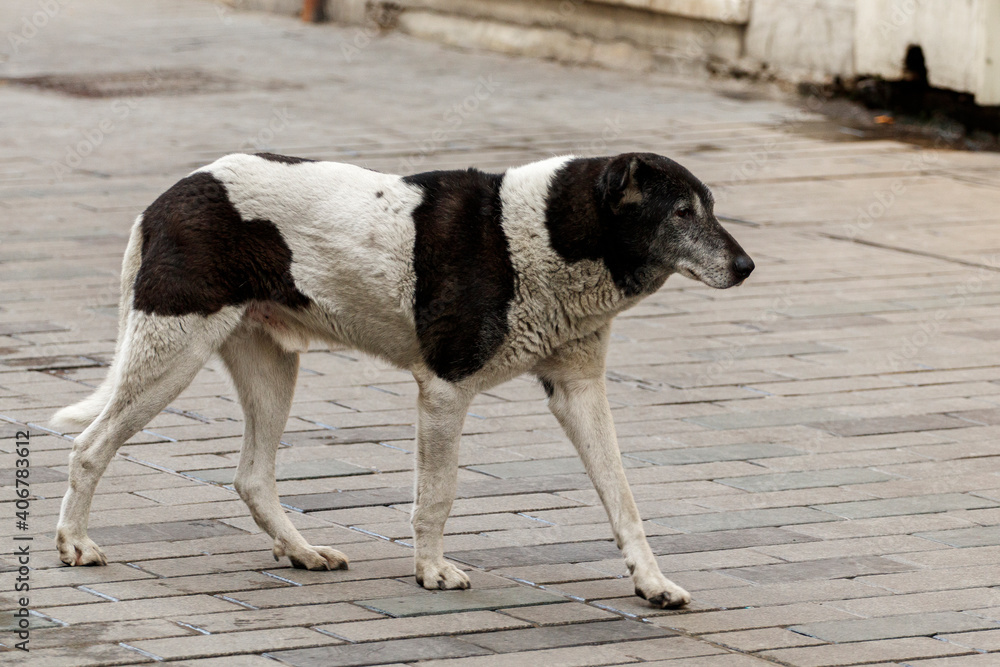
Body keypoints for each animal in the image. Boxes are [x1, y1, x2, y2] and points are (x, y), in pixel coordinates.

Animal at [48, 153, 752, 612]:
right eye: (682, 211)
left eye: (710, 208)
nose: (747, 267)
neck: (554, 235)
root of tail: (165, 198)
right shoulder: (444, 388)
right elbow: (437, 494)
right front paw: (431, 572)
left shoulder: (579, 390)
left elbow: (623, 499)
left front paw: (652, 584)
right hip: (173, 353)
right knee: (89, 447)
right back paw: (75, 544)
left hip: (271, 366)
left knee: (251, 476)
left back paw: (301, 552)